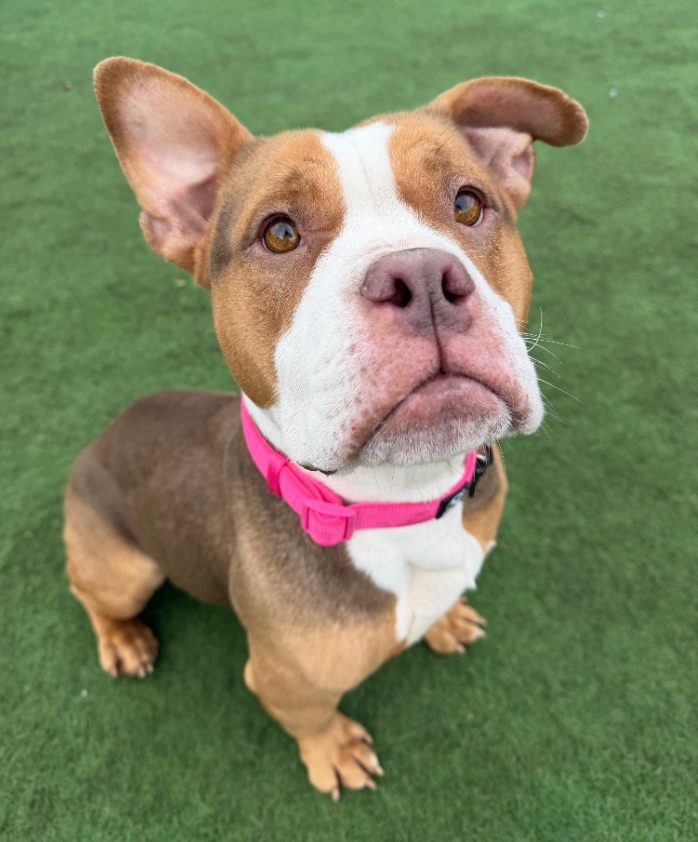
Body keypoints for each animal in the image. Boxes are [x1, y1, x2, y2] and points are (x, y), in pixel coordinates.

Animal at [64, 57, 587, 798]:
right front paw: (333, 749)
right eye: (279, 233)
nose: (422, 275)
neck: (400, 501)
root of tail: (101, 437)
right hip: (123, 566)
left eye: (468, 203)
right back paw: (123, 637)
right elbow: (311, 719)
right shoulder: (287, 682)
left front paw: (446, 618)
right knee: (89, 588)